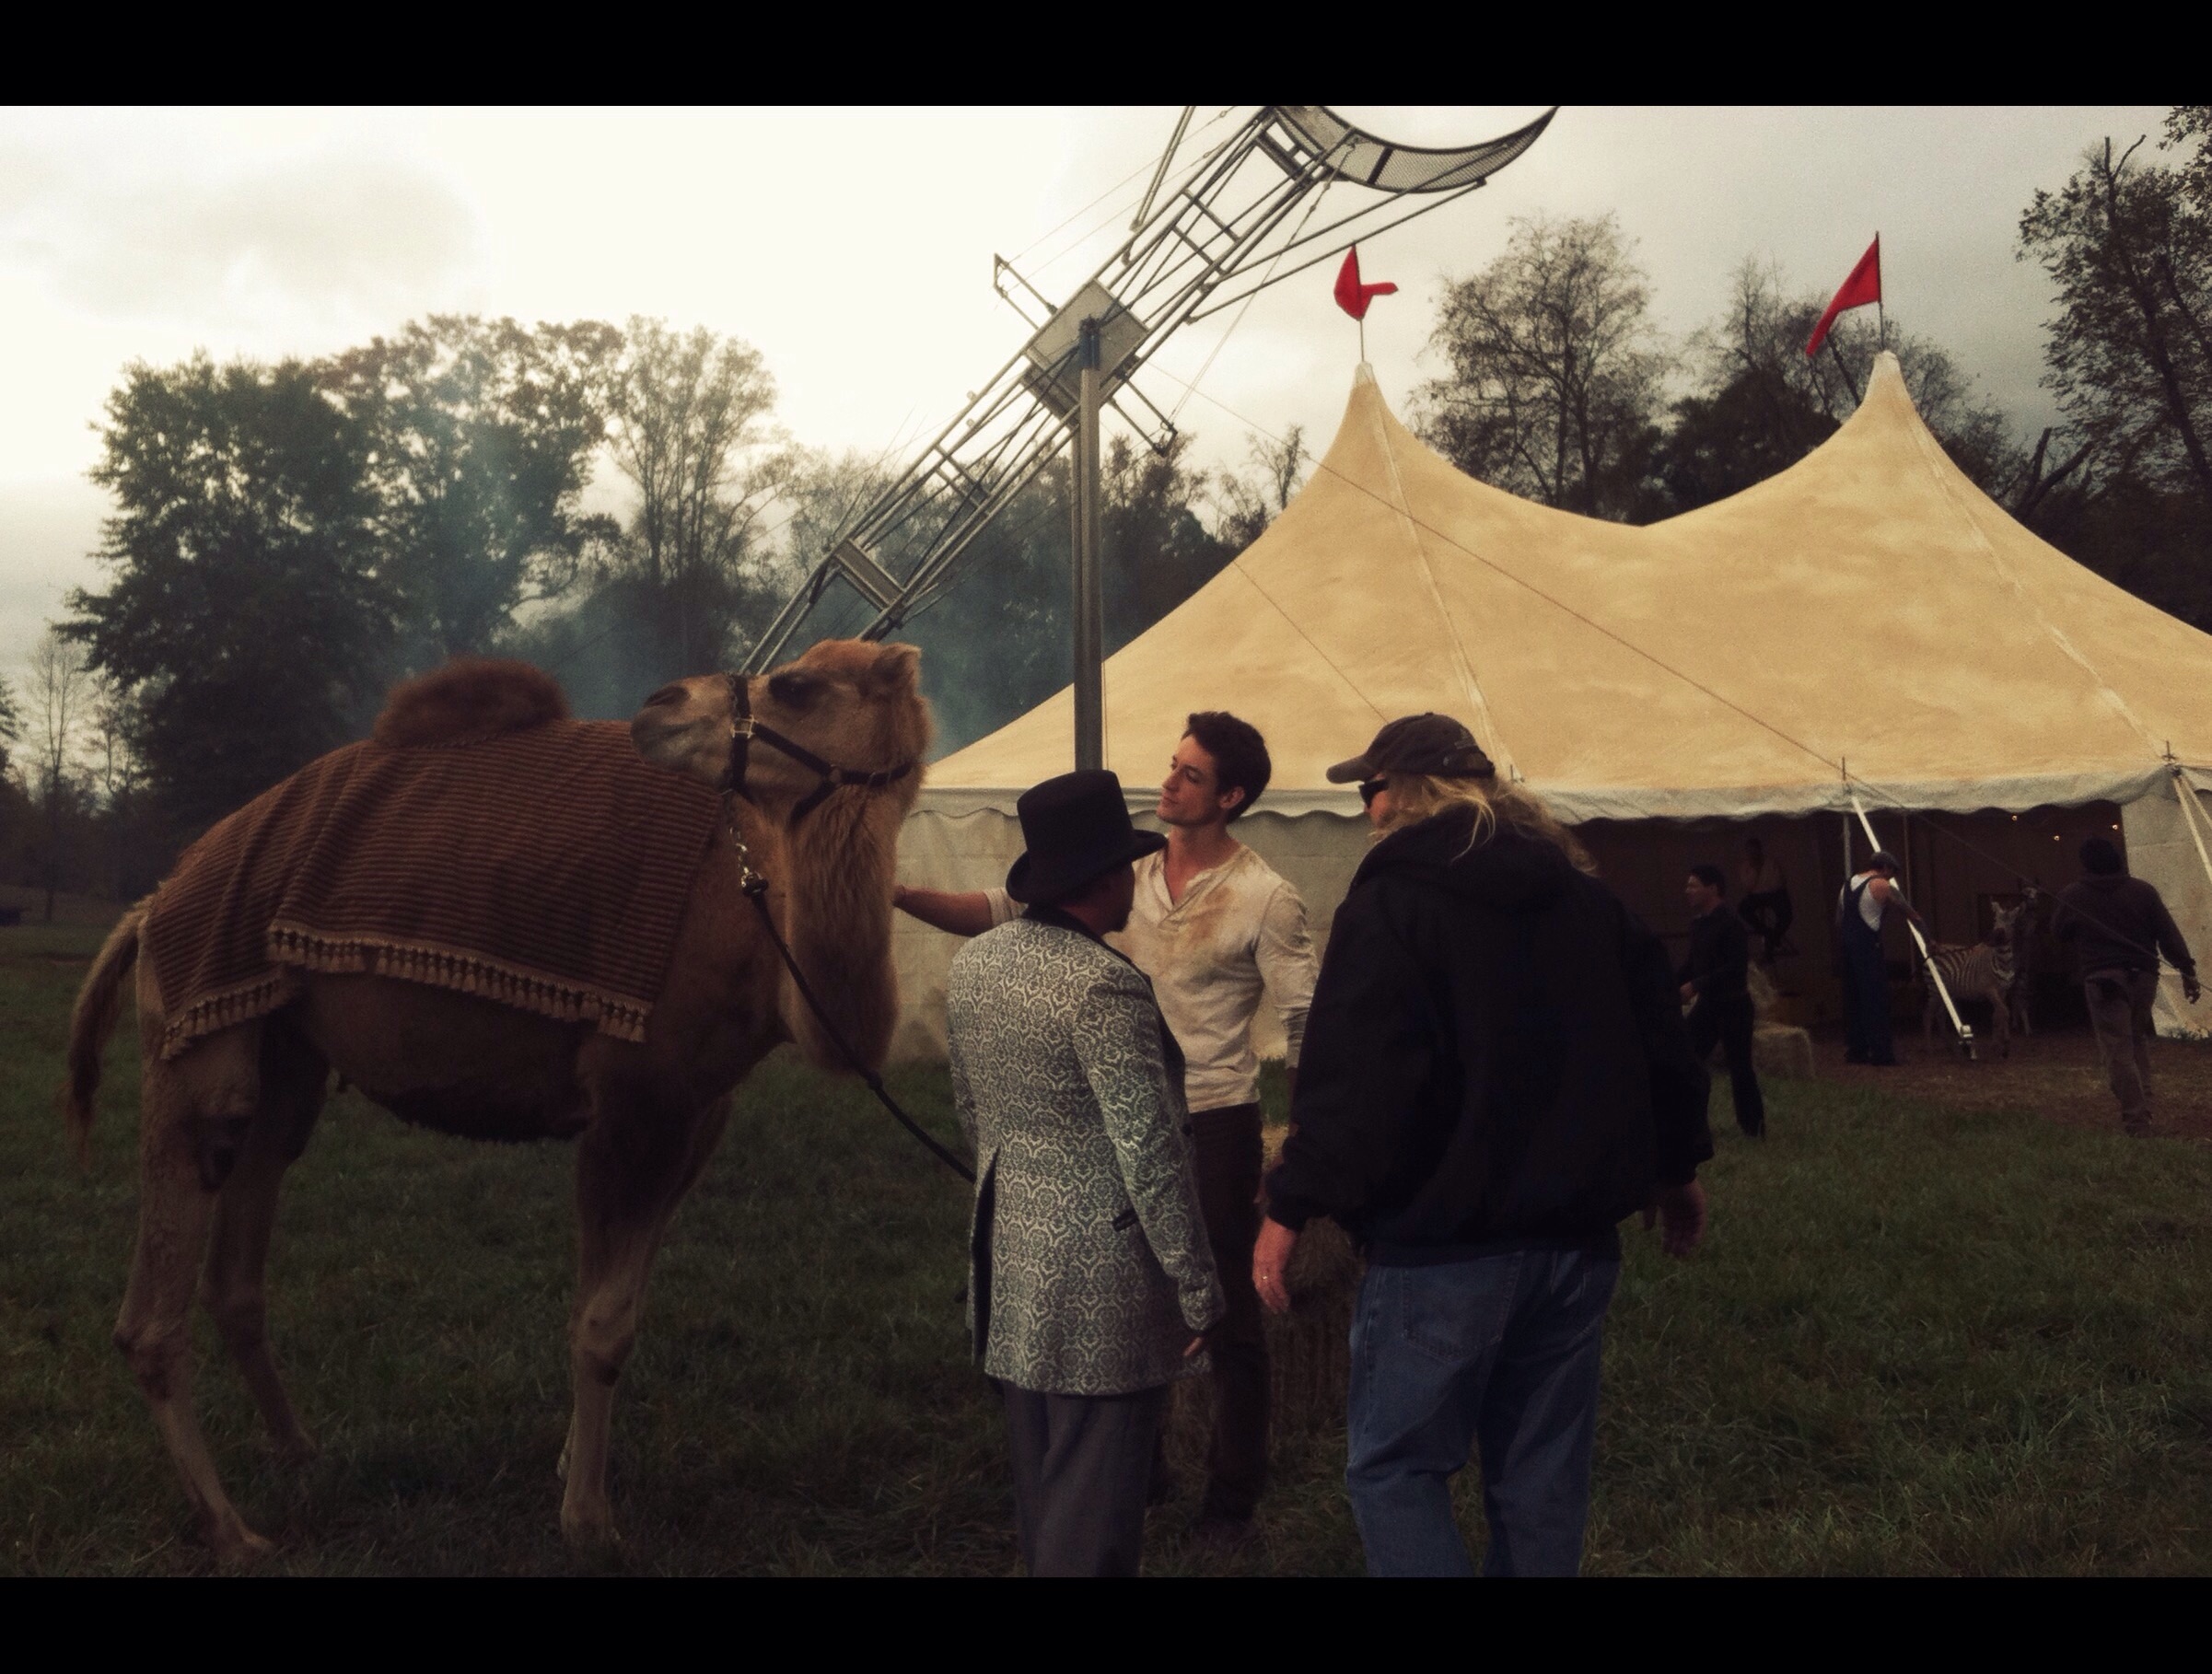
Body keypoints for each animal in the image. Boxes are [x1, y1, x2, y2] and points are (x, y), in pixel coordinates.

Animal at [60, 636, 925, 1556]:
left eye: (794, 686)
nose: (660, 703)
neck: (755, 926)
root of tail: (153, 902)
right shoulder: (632, 1099)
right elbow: (602, 1327)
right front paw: (587, 1519)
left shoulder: (697, 1115)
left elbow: (620, 1304)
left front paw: (571, 1468)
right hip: (194, 1035)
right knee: (150, 1313)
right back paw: (232, 1532)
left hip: (281, 1054)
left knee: (237, 1268)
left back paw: (298, 1449)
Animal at [1919, 893, 2034, 1052]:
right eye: (1995, 921)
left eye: (2012, 924)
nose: (1994, 938)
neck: (2003, 962)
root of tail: (1932, 951)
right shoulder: (1989, 990)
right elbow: (2004, 1012)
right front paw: (2003, 1043)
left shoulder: (2002, 992)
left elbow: (1997, 1015)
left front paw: (1998, 1042)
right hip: (1935, 989)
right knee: (1927, 1014)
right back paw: (1928, 1047)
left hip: (1945, 991)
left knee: (1940, 1015)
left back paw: (1948, 1046)